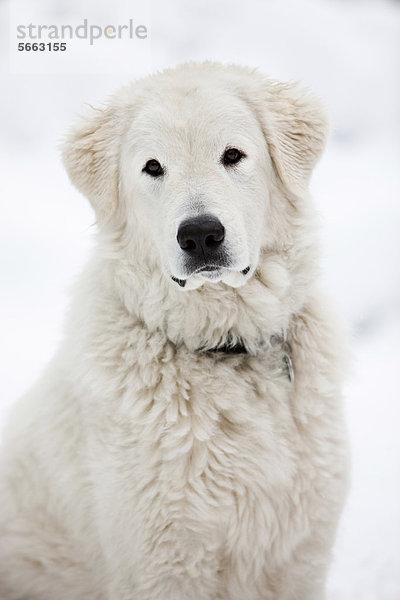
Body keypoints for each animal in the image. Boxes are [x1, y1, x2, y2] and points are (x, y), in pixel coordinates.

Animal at [0, 63, 348, 596]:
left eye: (232, 155)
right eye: (153, 167)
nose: (201, 234)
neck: (224, 348)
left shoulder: (297, 554)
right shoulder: (163, 561)